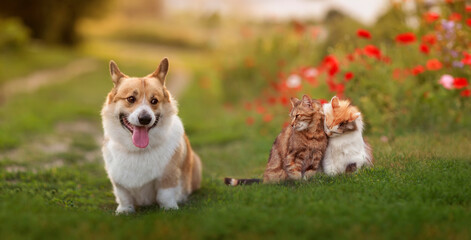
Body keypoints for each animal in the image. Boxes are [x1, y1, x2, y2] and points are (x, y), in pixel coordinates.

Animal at [101, 58, 201, 214]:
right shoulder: (118, 181)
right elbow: (124, 196)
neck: (137, 150)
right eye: (131, 99)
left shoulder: (168, 176)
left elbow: (165, 195)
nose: (145, 119)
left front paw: (169, 209)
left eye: (154, 101)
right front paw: (124, 210)